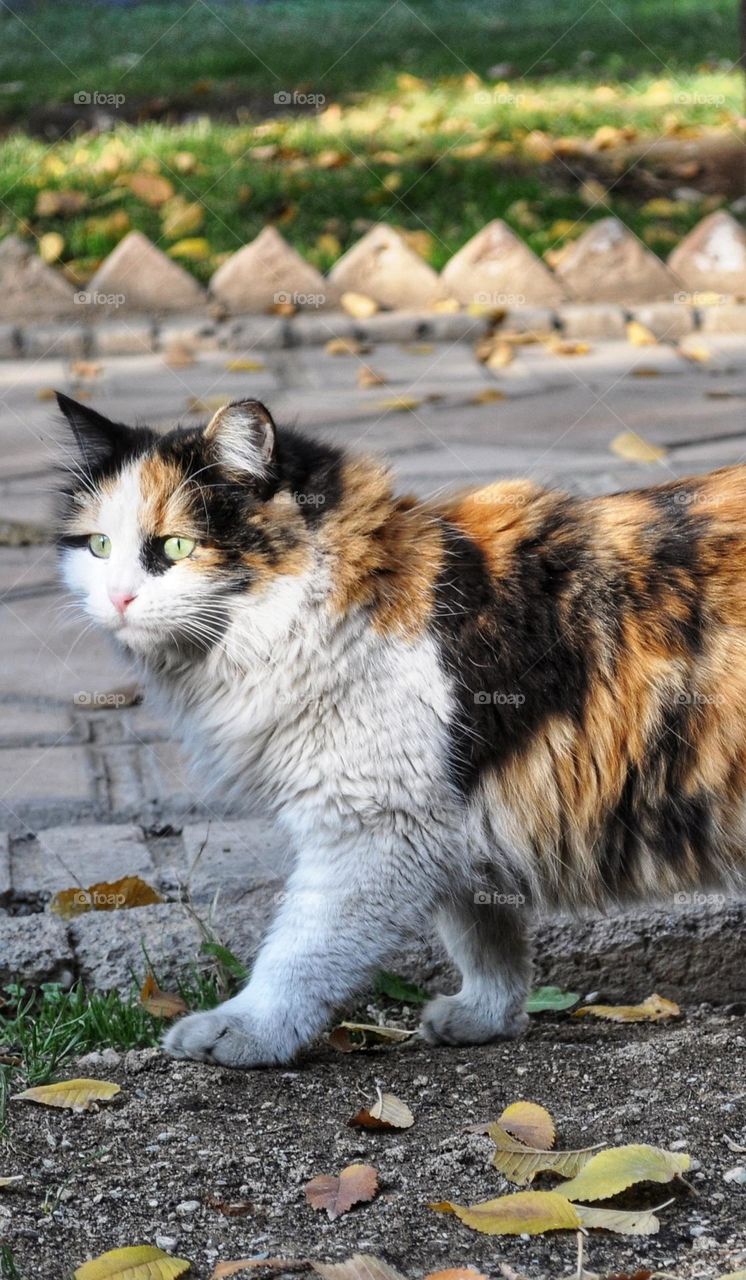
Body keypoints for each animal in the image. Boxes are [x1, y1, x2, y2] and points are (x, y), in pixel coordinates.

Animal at [58, 391, 746, 1070]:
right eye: (98, 547)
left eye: (175, 547)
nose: (117, 599)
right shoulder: (449, 823)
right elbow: (483, 937)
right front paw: (488, 1017)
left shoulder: (377, 828)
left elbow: (301, 952)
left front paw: (247, 1030)